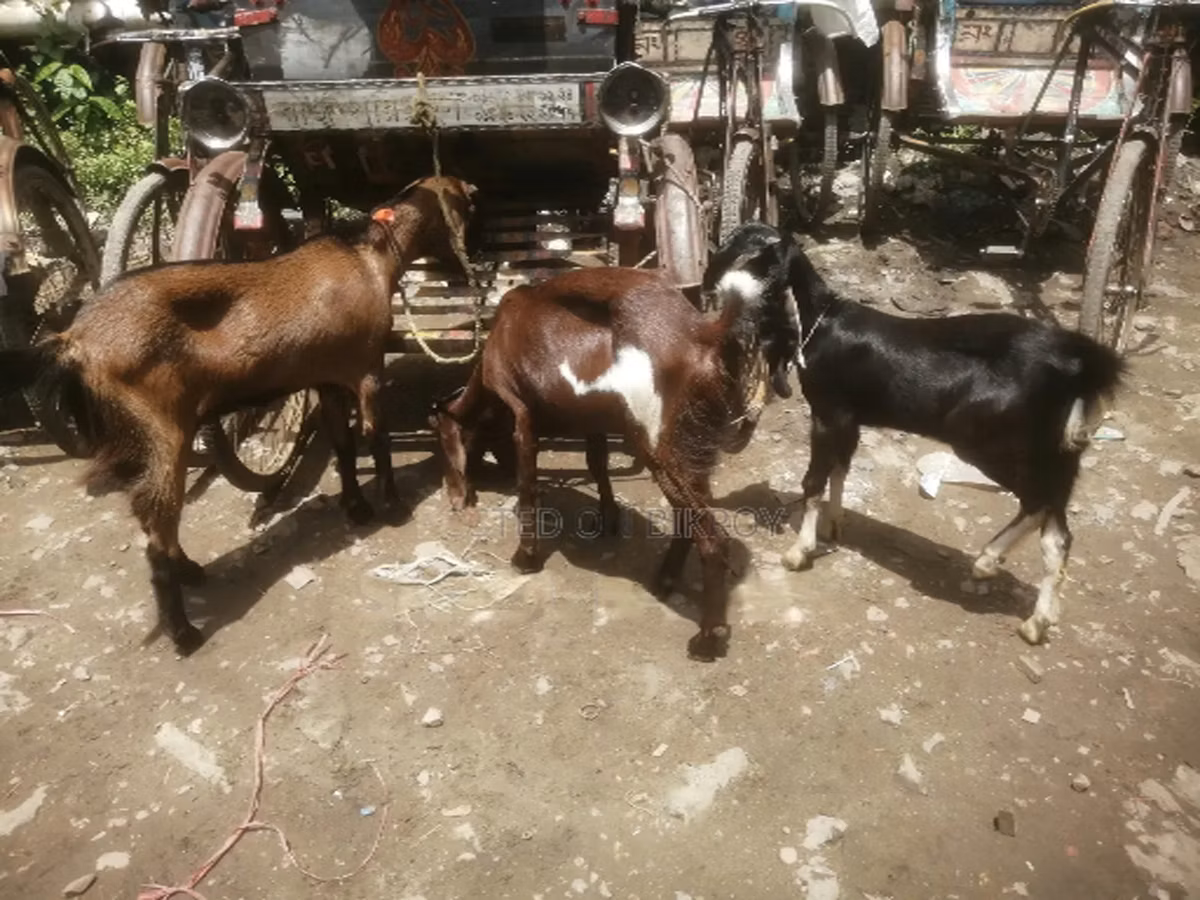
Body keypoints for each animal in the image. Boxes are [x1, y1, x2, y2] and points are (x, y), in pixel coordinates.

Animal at [0, 175, 477, 655]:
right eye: (464, 204)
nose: (466, 262)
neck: (369, 255)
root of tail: (73, 341)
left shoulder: (326, 377)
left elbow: (343, 446)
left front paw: (357, 507)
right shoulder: (367, 371)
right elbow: (375, 438)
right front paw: (393, 507)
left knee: (152, 520)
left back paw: (191, 572)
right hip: (163, 431)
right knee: (156, 536)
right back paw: (183, 632)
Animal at [429, 264, 802, 661]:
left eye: (441, 442)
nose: (455, 496)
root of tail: (703, 332)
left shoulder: (521, 412)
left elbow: (527, 485)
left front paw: (525, 558)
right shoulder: (592, 419)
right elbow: (597, 463)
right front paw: (607, 519)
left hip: (657, 443)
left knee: (712, 539)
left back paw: (705, 640)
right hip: (693, 444)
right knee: (688, 515)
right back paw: (664, 581)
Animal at [706, 222, 1126, 645]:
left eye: (754, 255)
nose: (720, 290)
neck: (819, 324)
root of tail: (1080, 366)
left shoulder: (828, 413)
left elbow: (814, 480)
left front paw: (799, 551)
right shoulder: (851, 419)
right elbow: (841, 468)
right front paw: (834, 526)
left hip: (992, 440)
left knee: (1038, 502)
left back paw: (988, 562)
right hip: (1058, 451)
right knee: (1057, 530)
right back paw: (1035, 617)